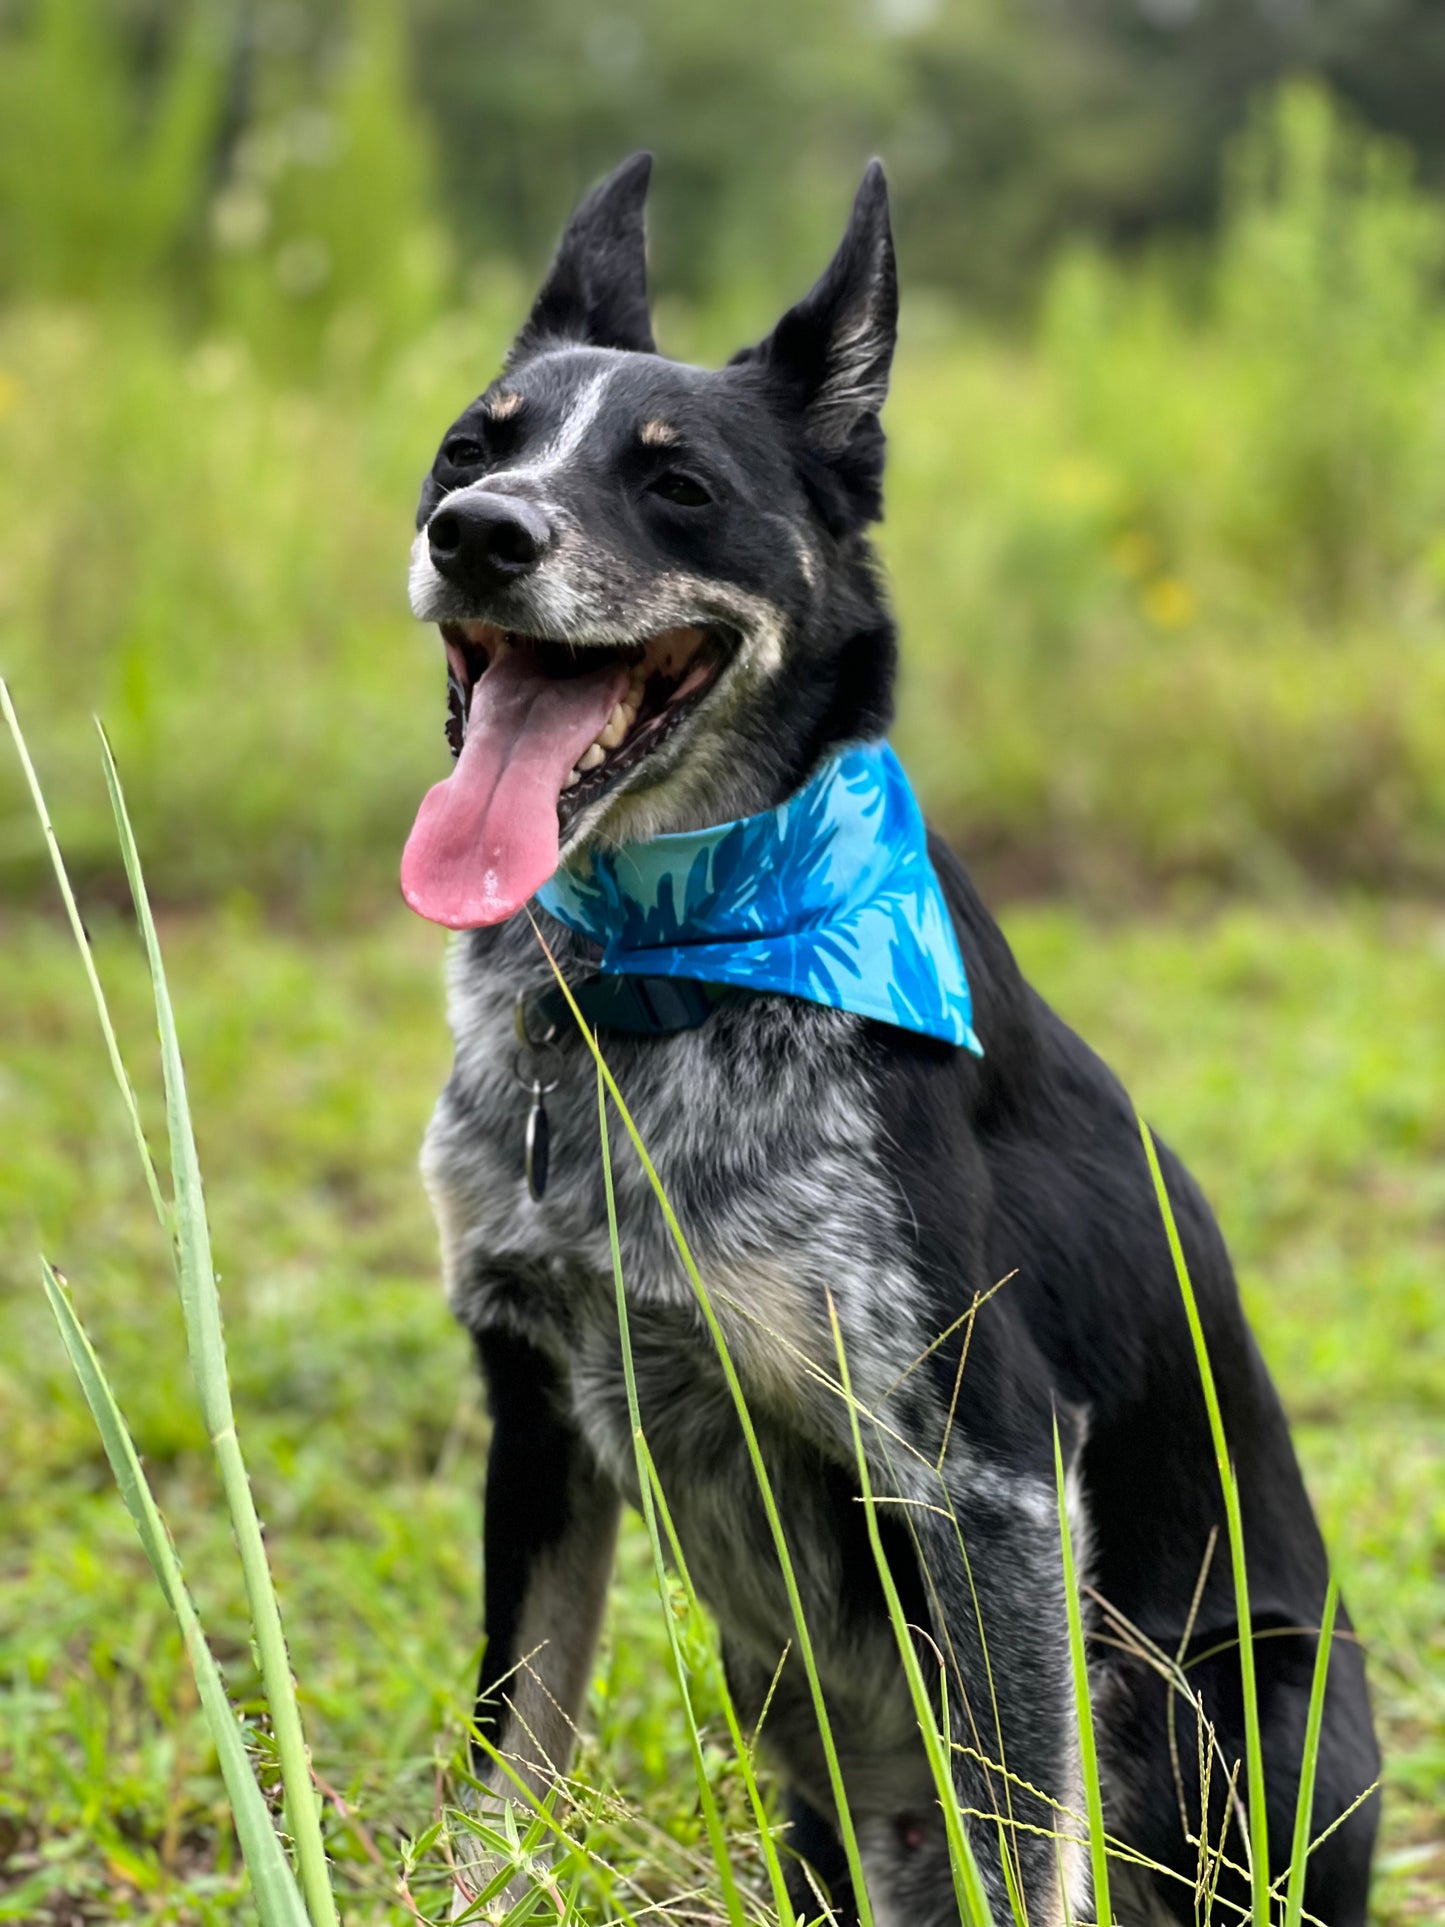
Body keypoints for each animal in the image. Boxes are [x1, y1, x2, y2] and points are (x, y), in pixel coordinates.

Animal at [402, 154, 1387, 1927]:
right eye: (472, 446)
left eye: (677, 484)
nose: (477, 534)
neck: (661, 975)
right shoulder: (534, 1408)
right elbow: (510, 1756)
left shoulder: (983, 1472)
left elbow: (1023, 1846)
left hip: (1221, 1698)